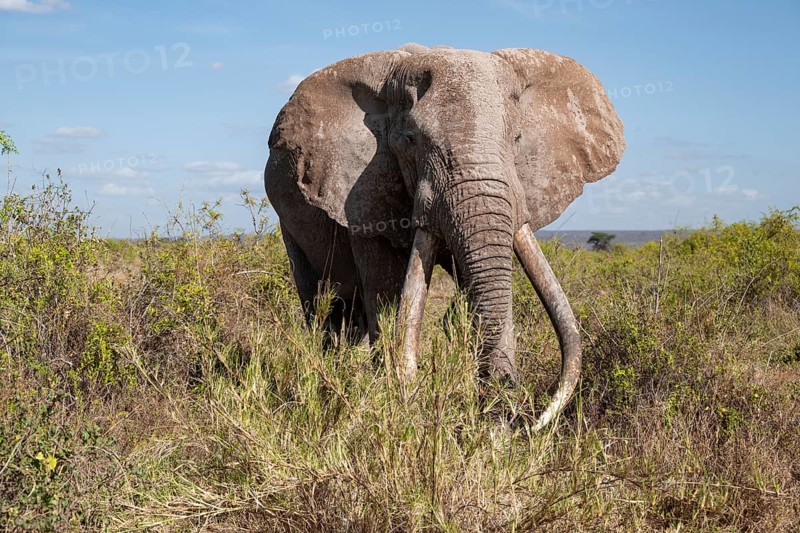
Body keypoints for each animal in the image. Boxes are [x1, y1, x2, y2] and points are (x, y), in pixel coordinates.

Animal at [264, 44, 624, 429]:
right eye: (410, 141)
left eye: (516, 139)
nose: (520, 419)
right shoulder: (361, 191)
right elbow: (385, 289)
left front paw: (494, 412)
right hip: (288, 224)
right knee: (322, 306)